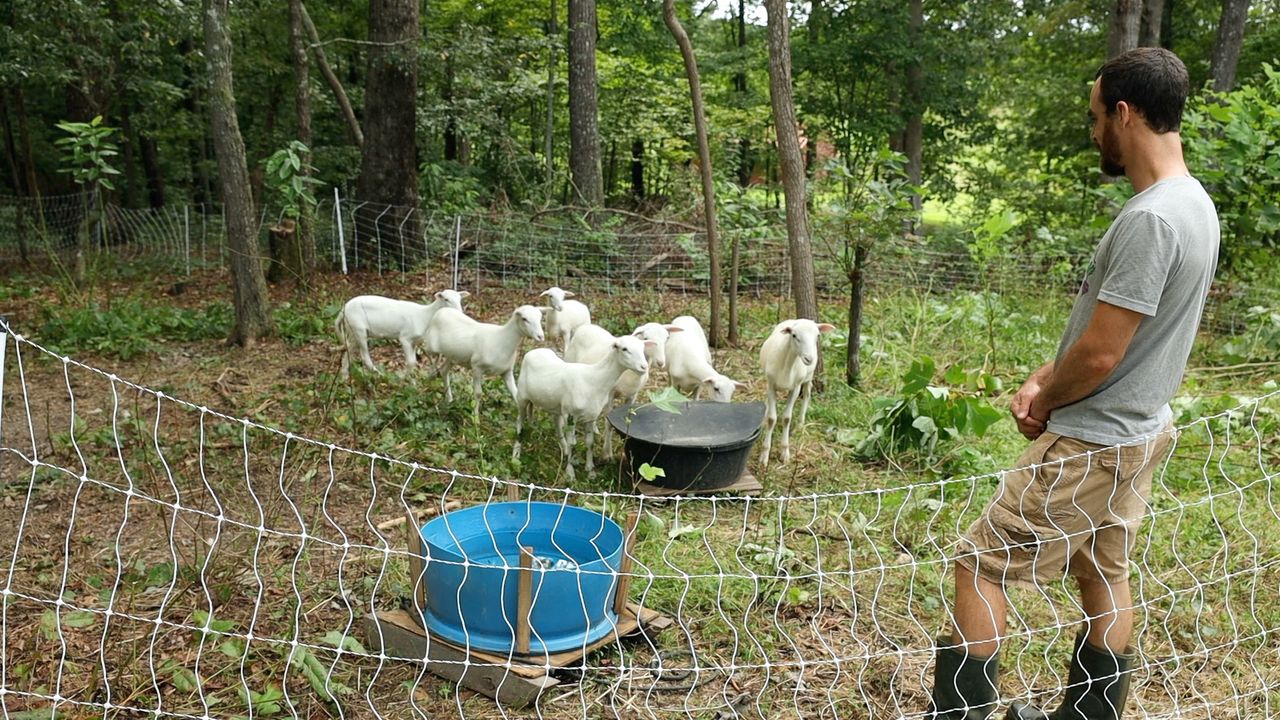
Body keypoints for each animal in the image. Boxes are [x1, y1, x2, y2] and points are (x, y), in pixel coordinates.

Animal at [335, 290, 468, 379]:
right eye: (446, 299)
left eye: (460, 299)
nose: (460, 312)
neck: (426, 315)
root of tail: (343, 309)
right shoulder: (405, 338)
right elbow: (411, 362)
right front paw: (403, 379)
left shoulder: (414, 341)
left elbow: (414, 361)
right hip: (359, 330)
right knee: (364, 357)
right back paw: (380, 375)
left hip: (353, 331)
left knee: (348, 350)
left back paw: (344, 377)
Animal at [513, 334, 652, 482]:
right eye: (624, 349)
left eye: (642, 348)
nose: (644, 367)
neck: (594, 380)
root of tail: (535, 351)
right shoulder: (570, 415)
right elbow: (572, 443)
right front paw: (570, 474)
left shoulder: (591, 416)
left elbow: (590, 442)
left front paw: (590, 471)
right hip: (522, 397)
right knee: (519, 422)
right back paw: (516, 454)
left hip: (555, 404)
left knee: (556, 423)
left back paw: (564, 450)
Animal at [565, 322, 684, 456]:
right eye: (646, 338)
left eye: (667, 338)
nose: (660, 362)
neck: (632, 374)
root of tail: (587, 326)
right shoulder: (610, 394)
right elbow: (608, 424)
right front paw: (607, 453)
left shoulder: (633, 395)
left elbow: (628, 419)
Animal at [759, 318, 835, 467]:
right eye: (794, 335)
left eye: (817, 335)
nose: (809, 359)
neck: (787, 364)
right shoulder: (771, 385)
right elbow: (772, 418)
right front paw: (764, 455)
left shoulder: (795, 388)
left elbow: (786, 418)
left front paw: (785, 452)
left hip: (808, 377)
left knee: (807, 393)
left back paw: (800, 424)